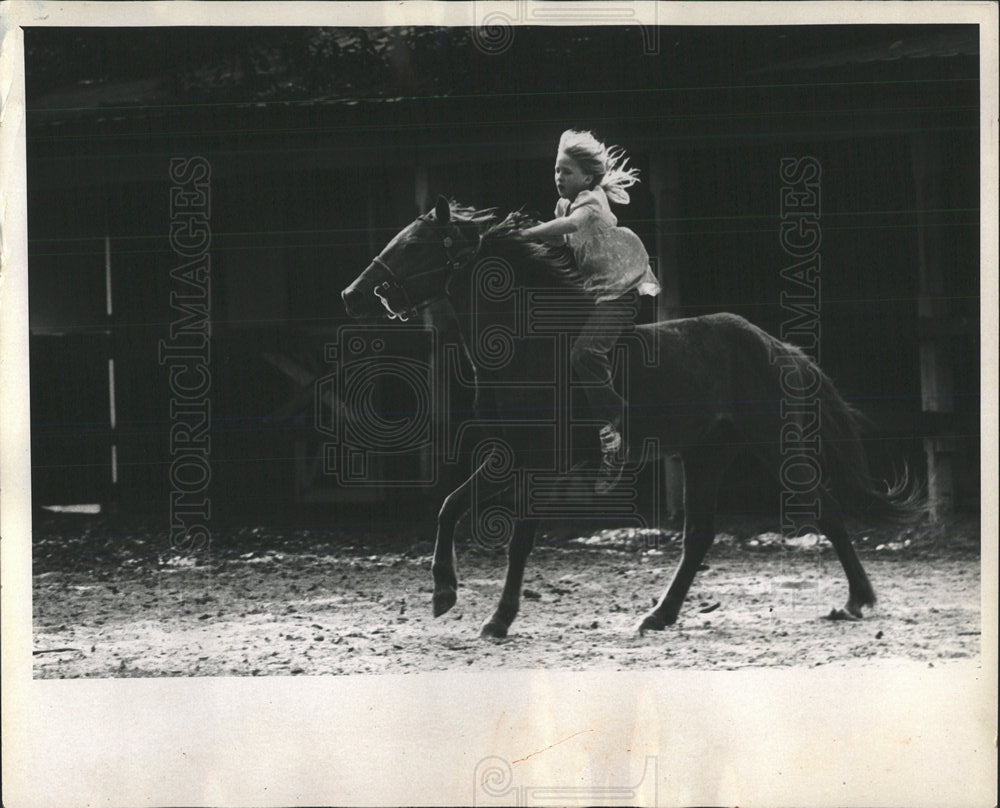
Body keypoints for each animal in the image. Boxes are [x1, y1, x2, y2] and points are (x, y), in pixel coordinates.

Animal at [340, 196, 916, 636]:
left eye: (413, 245)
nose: (352, 295)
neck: (528, 348)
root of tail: (779, 347)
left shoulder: (542, 464)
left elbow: (519, 540)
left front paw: (498, 620)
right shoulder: (508, 455)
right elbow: (449, 506)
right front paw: (443, 593)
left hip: (772, 445)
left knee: (827, 510)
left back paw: (858, 599)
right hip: (706, 455)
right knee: (700, 535)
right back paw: (659, 616)